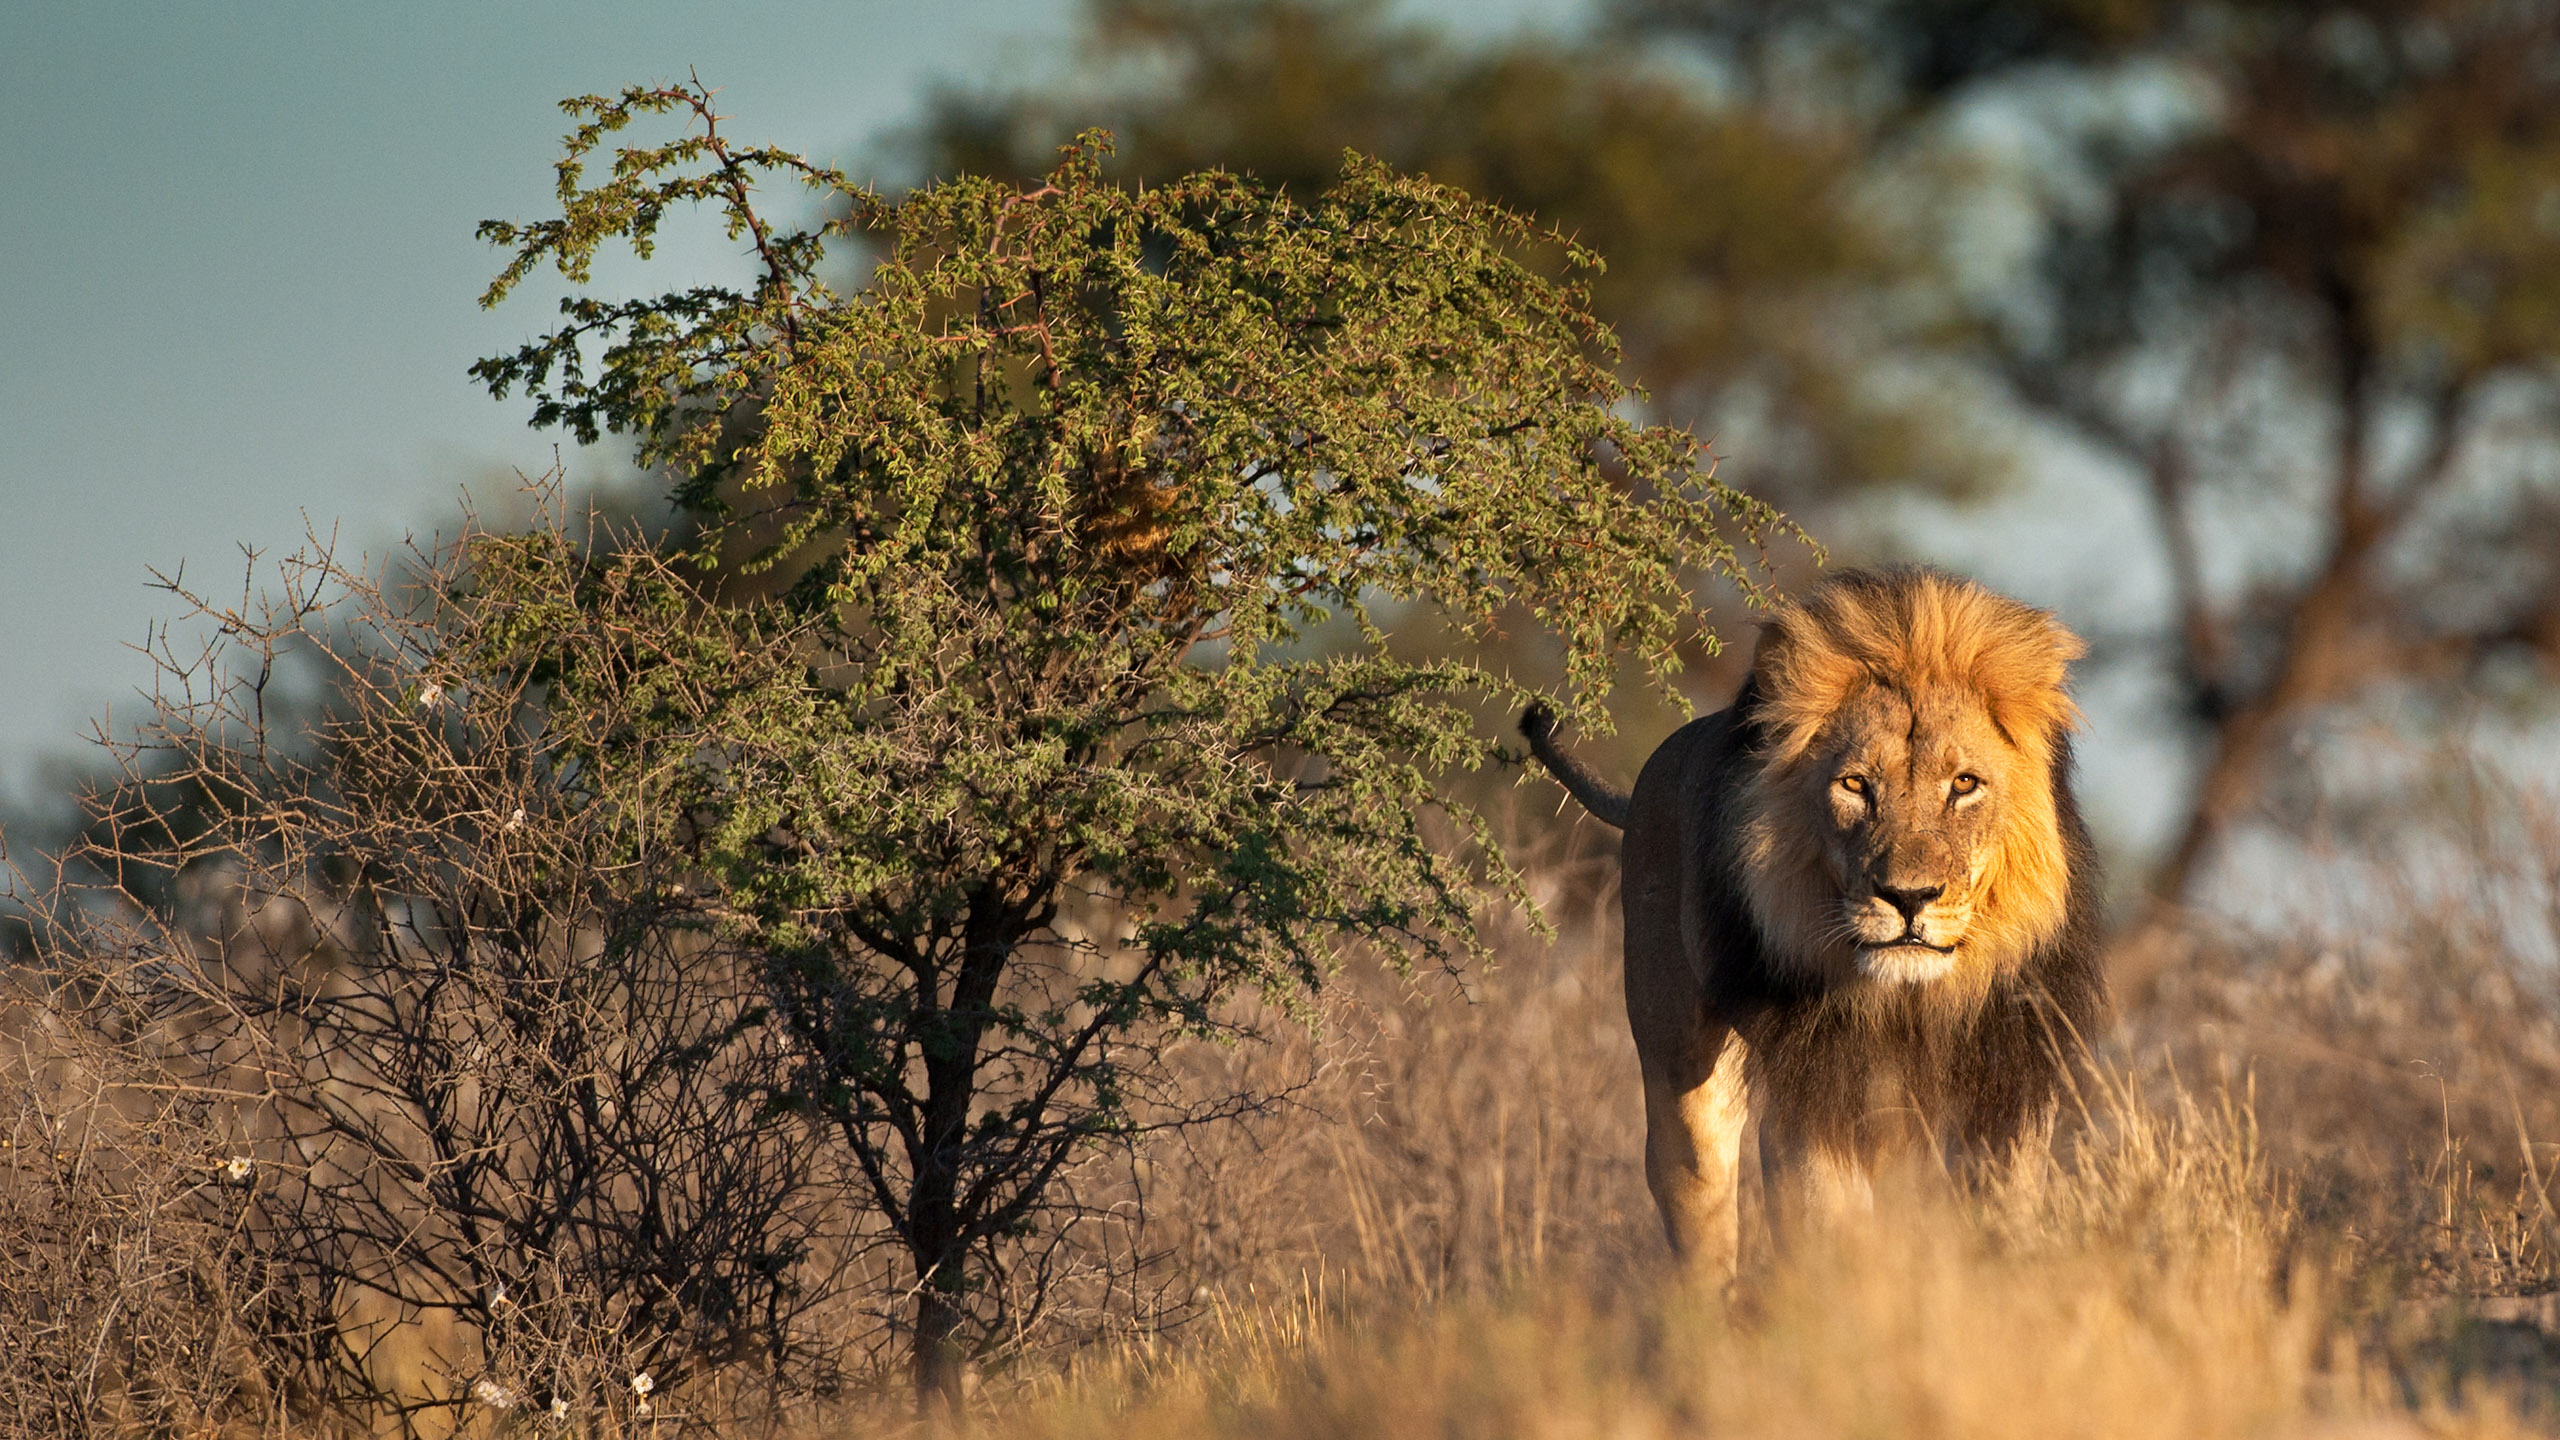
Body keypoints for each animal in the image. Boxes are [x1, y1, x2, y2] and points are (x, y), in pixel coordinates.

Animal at [1515, 566, 2099, 1270]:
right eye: (1854, 785)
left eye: (1963, 784)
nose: (1908, 897)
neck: (1911, 1003)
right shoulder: (1816, 1099)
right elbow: (1833, 1233)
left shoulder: (2006, 1093)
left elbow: (1997, 1221)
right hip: (1682, 1067)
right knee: (1701, 1200)